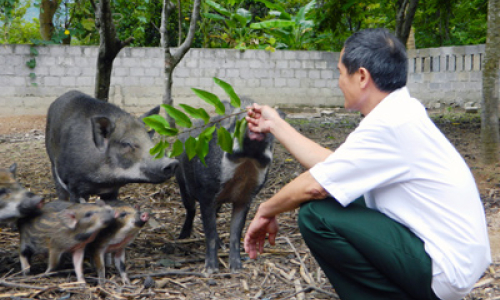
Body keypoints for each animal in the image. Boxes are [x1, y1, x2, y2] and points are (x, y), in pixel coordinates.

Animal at [45, 90, 178, 203]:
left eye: (148, 138)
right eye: (126, 143)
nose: (172, 162)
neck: (102, 182)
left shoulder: (112, 191)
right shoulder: (73, 185)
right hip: (52, 163)